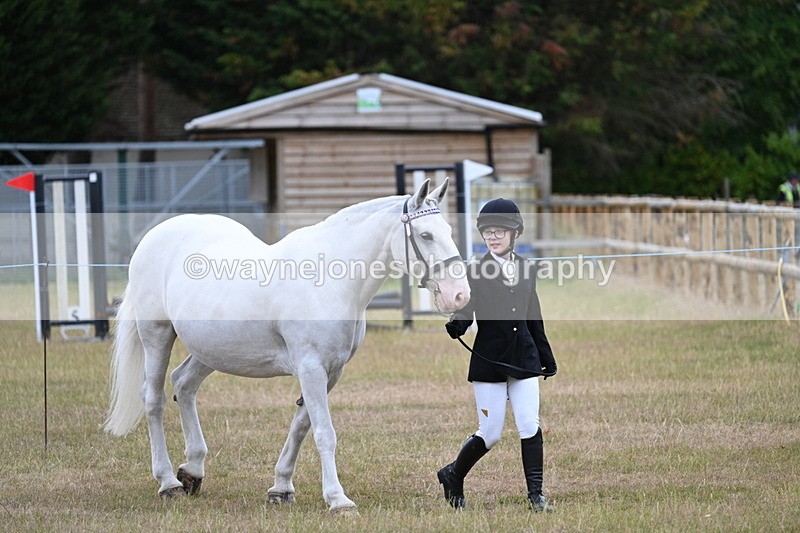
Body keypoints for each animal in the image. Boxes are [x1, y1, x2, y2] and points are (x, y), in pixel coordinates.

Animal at [103, 178, 470, 513]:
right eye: (426, 235)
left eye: (448, 230)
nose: (459, 295)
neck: (328, 279)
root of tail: (155, 235)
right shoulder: (311, 368)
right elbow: (324, 432)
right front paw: (338, 500)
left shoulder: (330, 371)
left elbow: (301, 427)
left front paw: (281, 488)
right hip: (157, 335)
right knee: (153, 400)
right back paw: (168, 483)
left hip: (212, 349)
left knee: (184, 383)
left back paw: (192, 470)